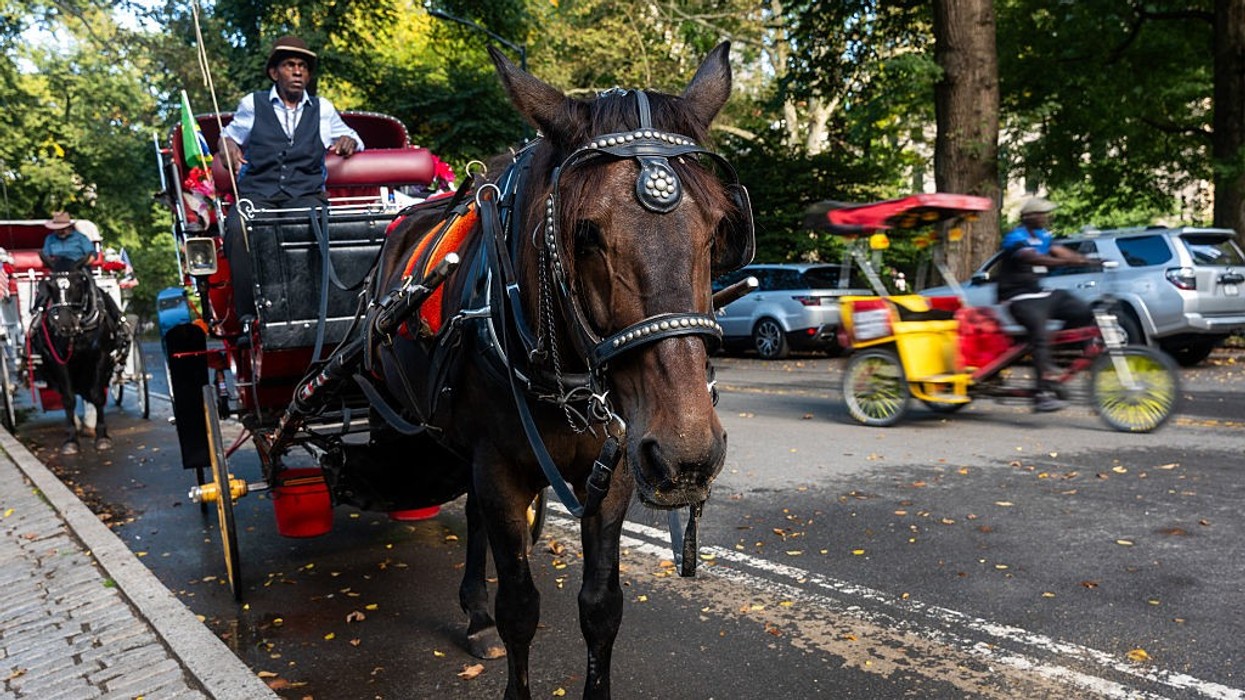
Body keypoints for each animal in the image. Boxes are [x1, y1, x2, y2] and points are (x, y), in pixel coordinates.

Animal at [29, 262, 125, 454]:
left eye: (79, 284)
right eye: (51, 286)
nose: (65, 324)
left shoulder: (101, 357)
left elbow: (97, 395)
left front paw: (102, 436)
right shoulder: (59, 363)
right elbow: (68, 399)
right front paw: (71, 440)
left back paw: (89, 423)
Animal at [364, 42, 751, 698]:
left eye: (720, 228)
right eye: (585, 233)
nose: (687, 455)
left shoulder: (616, 467)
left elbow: (601, 608)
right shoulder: (497, 466)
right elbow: (521, 609)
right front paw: (503, 632)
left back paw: (474, 611)